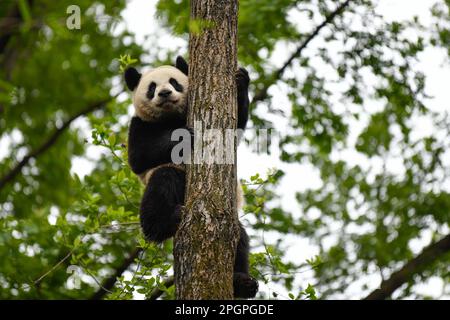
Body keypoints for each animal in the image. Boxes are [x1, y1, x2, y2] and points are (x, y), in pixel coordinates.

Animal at [125, 56, 258, 298]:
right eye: (152, 88)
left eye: (174, 82)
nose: (164, 93)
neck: (171, 117)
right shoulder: (139, 124)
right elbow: (139, 156)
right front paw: (185, 136)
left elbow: (235, 129)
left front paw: (241, 79)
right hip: (173, 181)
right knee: (163, 181)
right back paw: (164, 222)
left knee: (240, 239)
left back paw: (242, 282)